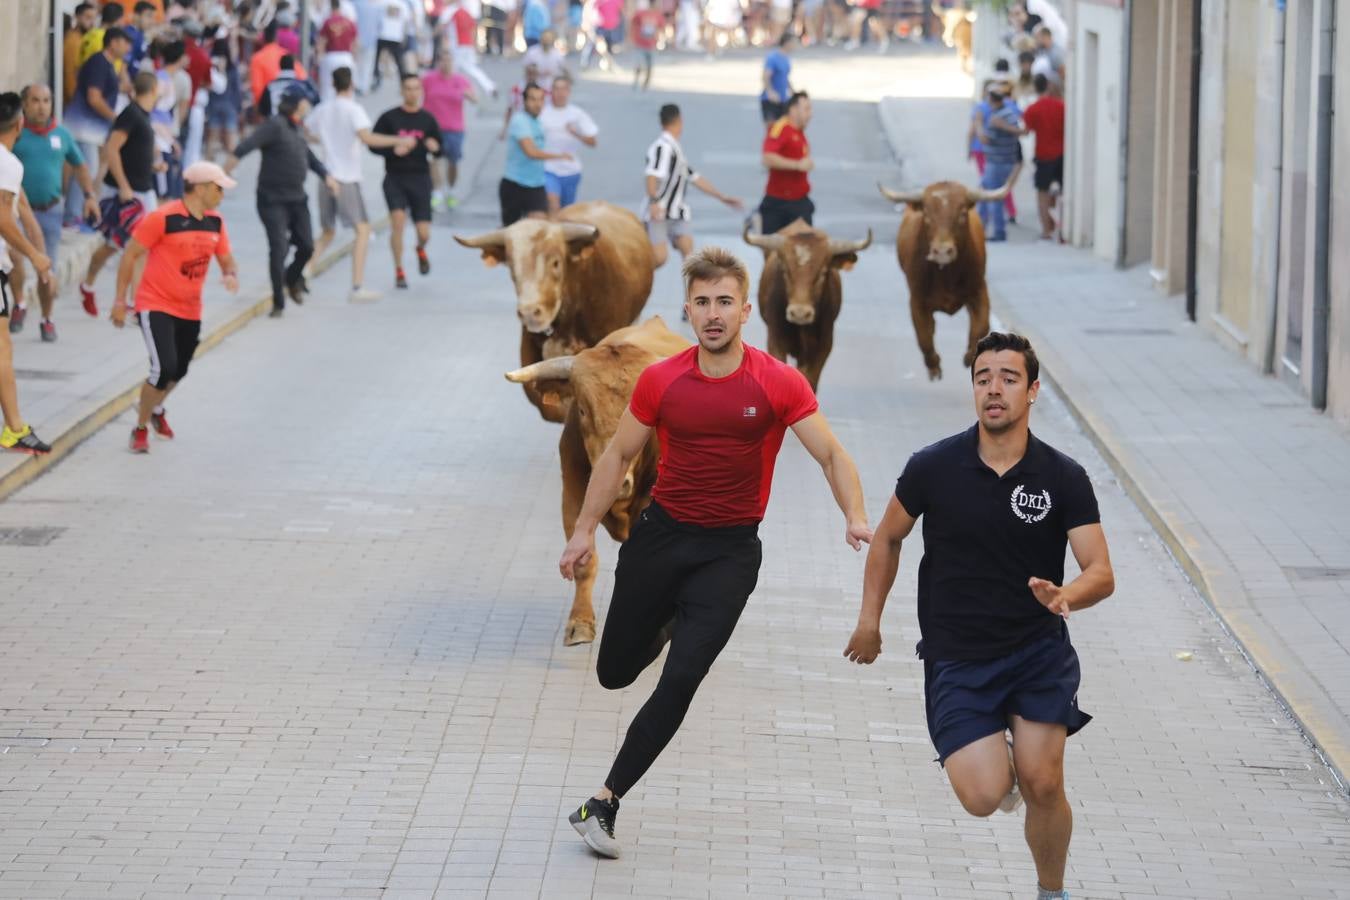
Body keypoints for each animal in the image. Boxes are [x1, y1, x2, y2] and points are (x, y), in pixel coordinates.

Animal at [880, 179, 1009, 380]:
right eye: (926, 214)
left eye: (962, 213)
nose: (942, 252)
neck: (946, 275)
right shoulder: (917, 300)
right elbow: (924, 336)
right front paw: (934, 367)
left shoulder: (980, 291)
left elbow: (980, 326)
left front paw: (969, 357)